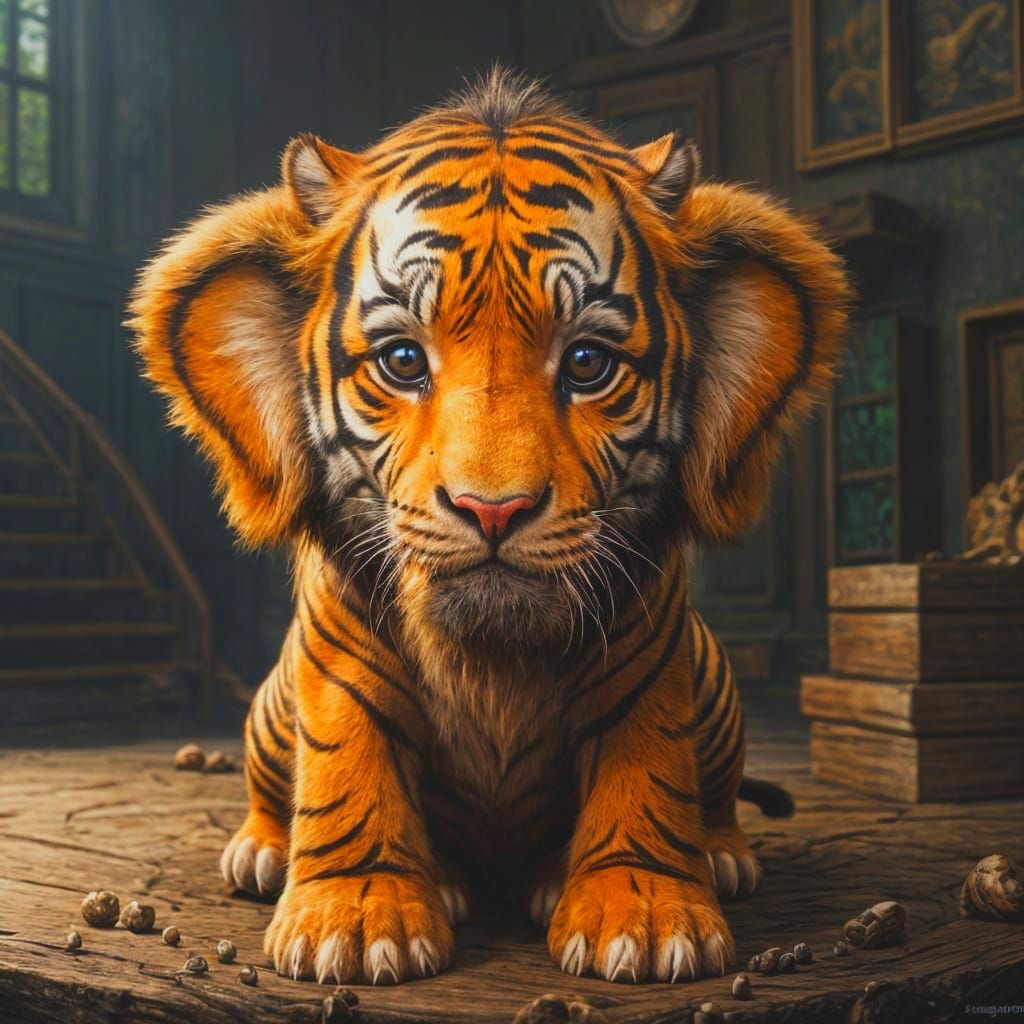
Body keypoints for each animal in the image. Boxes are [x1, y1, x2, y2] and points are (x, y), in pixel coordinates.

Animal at [129, 68, 849, 987]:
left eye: (587, 364)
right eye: (403, 361)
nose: (493, 508)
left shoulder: (651, 659)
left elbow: (647, 764)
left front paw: (646, 920)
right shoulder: (335, 660)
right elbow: (347, 755)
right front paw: (352, 923)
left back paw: (710, 855)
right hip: (267, 707)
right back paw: (268, 852)